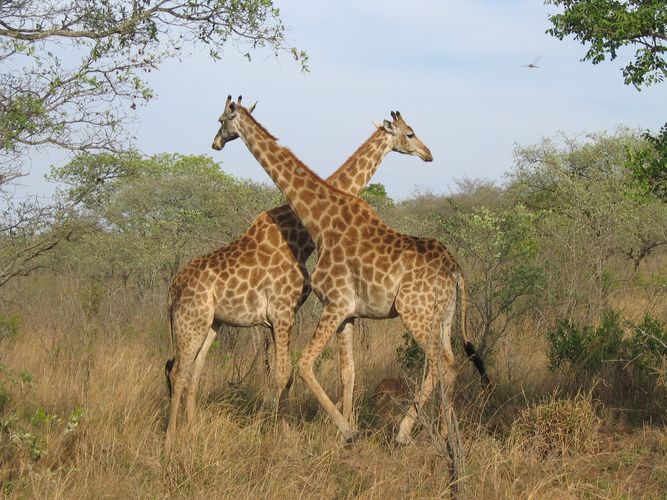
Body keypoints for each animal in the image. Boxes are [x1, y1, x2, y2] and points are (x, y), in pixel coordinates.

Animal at [164, 100, 430, 454]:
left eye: (220, 121)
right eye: (411, 134)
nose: (428, 154)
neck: (301, 234)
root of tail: (171, 290)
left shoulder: (282, 314)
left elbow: (292, 375)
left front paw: (287, 430)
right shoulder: (281, 310)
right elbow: (284, 375)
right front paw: (284, 435)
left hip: (209, 324)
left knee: (193, 372)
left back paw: (192, 431)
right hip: (190, 322)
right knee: (178, 371)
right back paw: (170, 440)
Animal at [211, 95, 488, 448]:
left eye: (221, 120)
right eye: (411, 133)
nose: (215, 143)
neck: (321, 220)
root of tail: (455, 266)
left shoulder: (336, 303)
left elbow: (305, 365)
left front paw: (348, 431)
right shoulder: (348, 312)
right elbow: (347, 371)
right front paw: (345, 427)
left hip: (415, 311)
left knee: (438, 363)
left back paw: (404, 432)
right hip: (444, 315)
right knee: (449, 362)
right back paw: (445, 433)